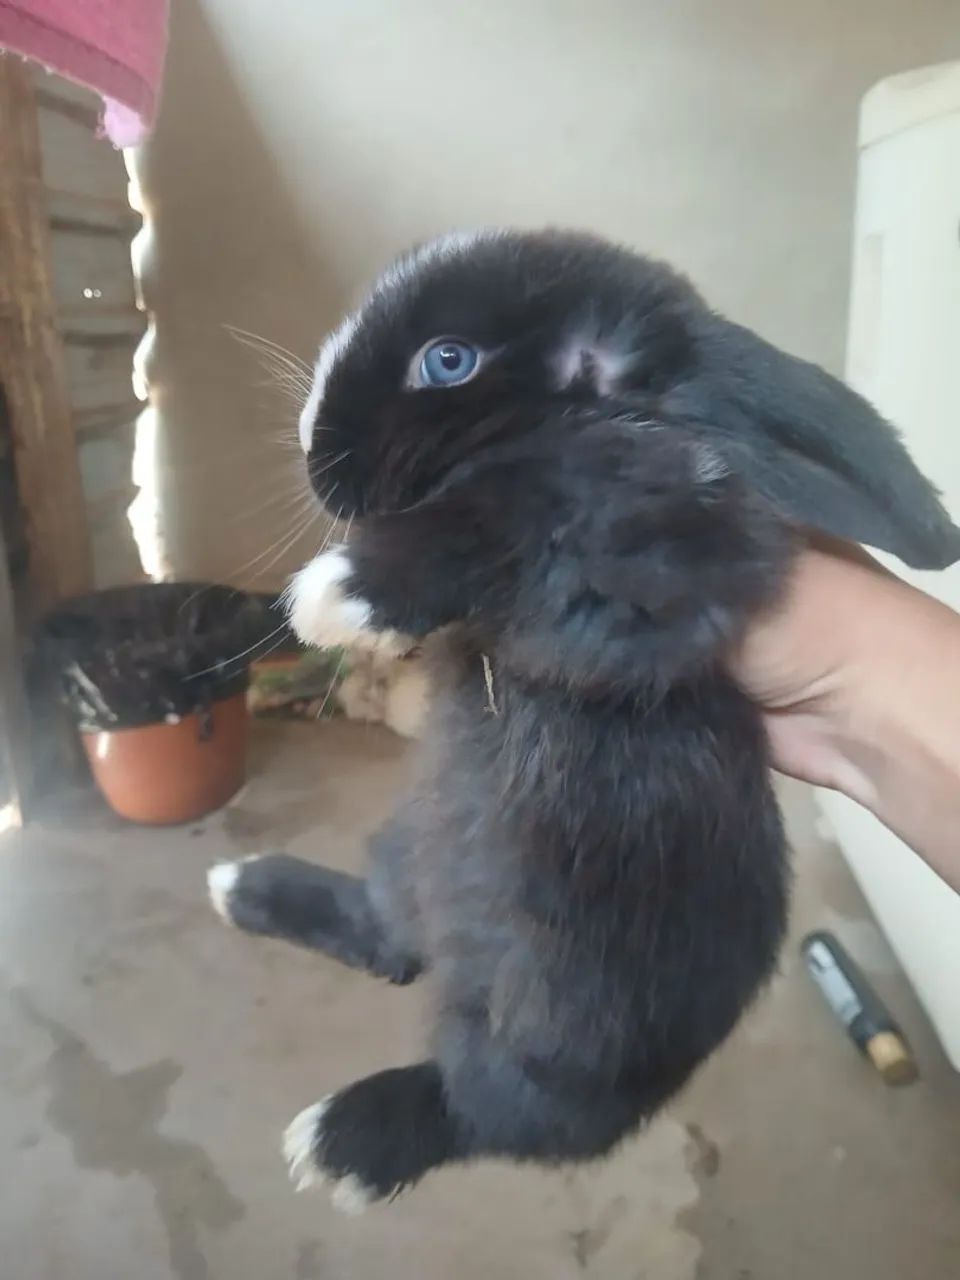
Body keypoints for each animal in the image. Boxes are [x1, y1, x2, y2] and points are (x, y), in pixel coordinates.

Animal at [207, 229, 960, 1214]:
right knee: (389, 941)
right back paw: (243, 886)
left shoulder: (644, 546)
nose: (308, 444)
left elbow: (521, 511)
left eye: (448, 360)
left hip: (562, 1031)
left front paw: (337, 595)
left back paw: (343, 1140)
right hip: (408, 854)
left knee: (491, 1110)